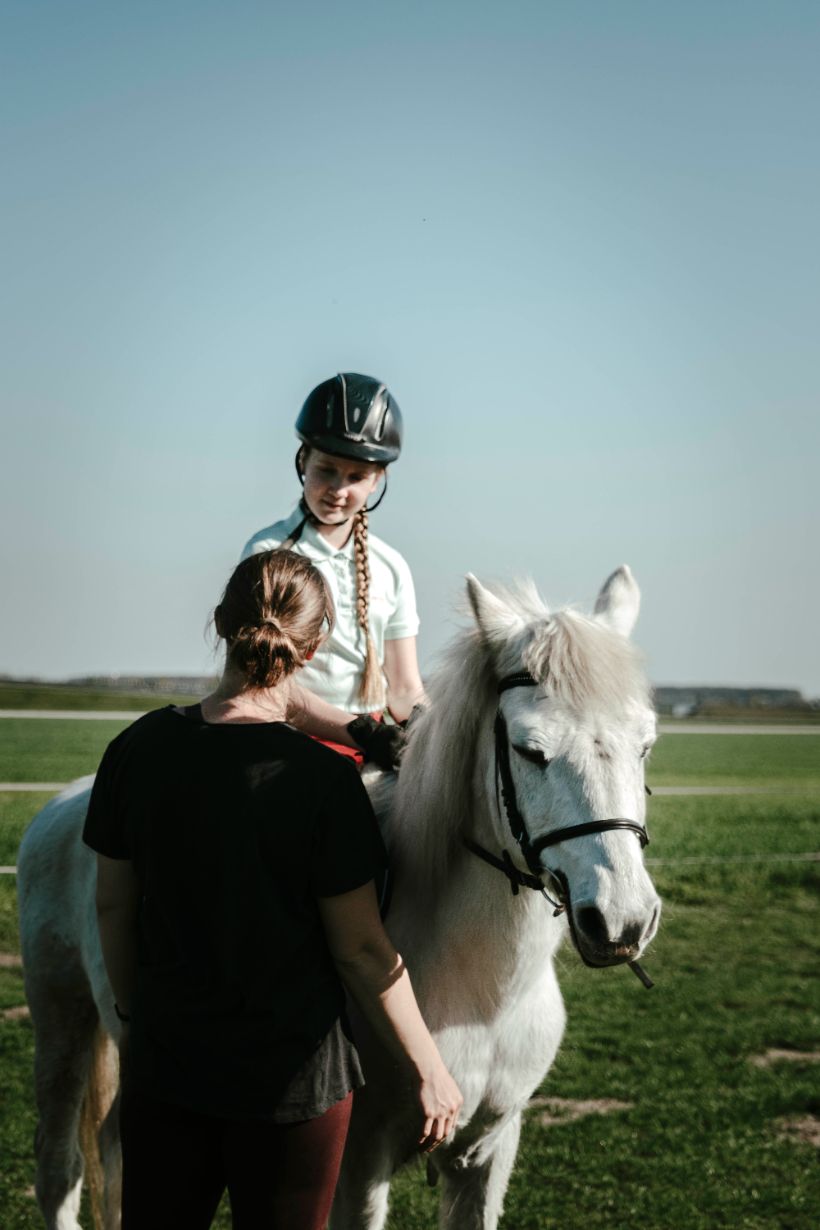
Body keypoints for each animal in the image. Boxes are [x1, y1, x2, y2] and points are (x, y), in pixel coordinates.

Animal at [17, 565, 658, 1230]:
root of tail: (68, 802)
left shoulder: (489, 1152)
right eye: (531, 751)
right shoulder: (362, 1157)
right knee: (59, 1165)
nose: (622, 922)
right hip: (61, 1021)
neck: (479, 993)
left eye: (645, 746)